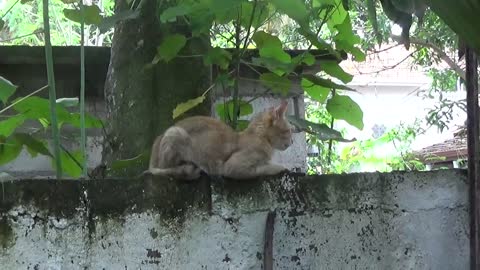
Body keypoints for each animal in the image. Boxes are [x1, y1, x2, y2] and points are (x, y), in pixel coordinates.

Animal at [144, 99, 292, 179]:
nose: (292, 142)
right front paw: (280, 167)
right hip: (175, 133)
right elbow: (262, 169)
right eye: (289, 131)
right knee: (163, 169)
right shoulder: (232, 167)